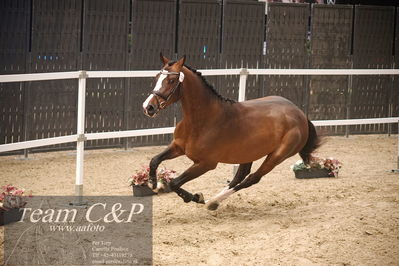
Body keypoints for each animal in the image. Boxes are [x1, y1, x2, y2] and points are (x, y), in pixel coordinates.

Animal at [142, 54, 320, 210]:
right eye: (156, 78)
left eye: (171, 80)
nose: (148, 107)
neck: (202, 121)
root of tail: (299, 113)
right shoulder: (178, 147)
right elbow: (154, 160)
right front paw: (153, 183)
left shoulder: (206, 164)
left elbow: (174, 183)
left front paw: (195, 197)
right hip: (248, 153)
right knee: (239, 177)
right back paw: (214, 201)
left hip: (277, 156)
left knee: (252, 179)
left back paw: (212, 202)